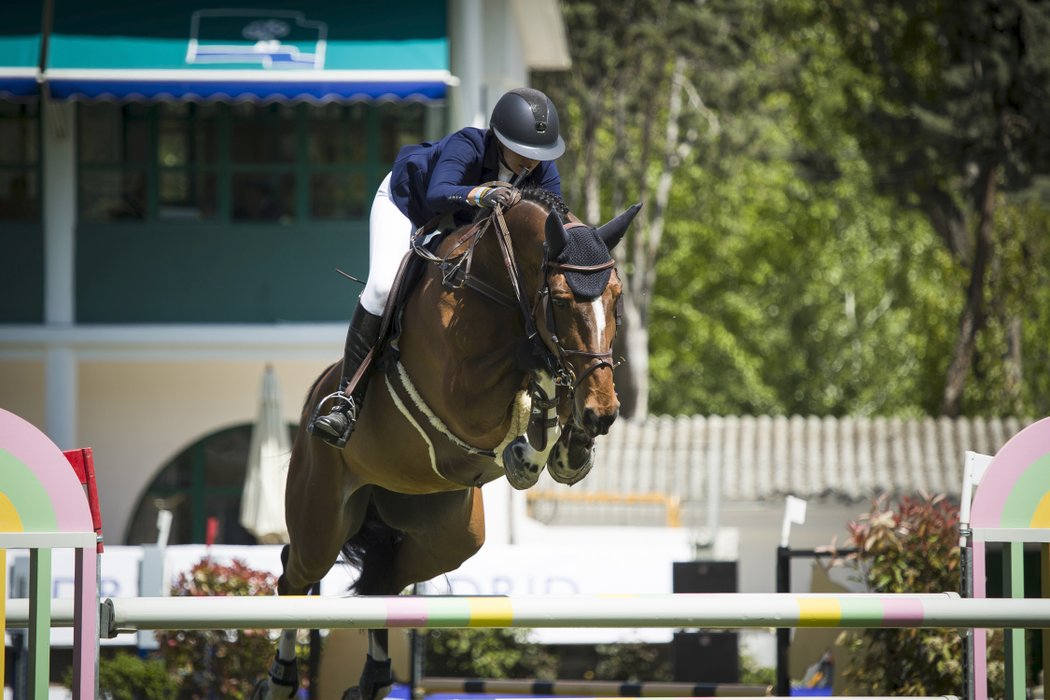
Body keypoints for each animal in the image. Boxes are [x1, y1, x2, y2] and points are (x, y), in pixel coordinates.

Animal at [254, 187, 638, 700]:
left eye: (615, 298)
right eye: (559, 300)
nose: (604, 412)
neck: (497, 287)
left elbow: (552, 382)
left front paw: (567, 449)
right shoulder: (464, 395)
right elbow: (532, 361)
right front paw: (527, 451)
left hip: (449, 533)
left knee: (381, 579)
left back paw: (374, 678)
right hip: (321, 517)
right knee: (294, 574)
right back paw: (280, 679)